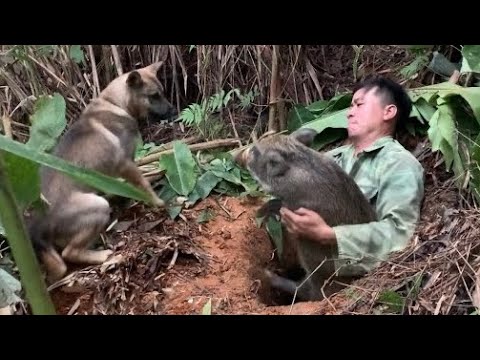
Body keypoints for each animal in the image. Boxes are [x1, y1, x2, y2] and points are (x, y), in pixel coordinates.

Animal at [28, 61, 175, 282]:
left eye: (163, 93)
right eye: (154, 96)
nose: (173, 111)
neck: (114, 104)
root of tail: (39, 227)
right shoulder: (125, 164)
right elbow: (143, 184)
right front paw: (158, 202)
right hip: (97, 207)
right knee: (69, 253)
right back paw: (102, 255)